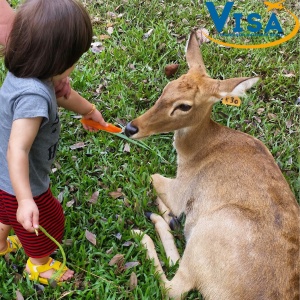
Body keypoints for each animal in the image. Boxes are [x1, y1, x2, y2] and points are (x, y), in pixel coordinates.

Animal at [123, 31, 298, 300]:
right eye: (166, 88)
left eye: (184, 105)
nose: (131, 128)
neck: (198, 151)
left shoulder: (181, 189)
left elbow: (153, 177)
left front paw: (166, 212)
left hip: (210, 231)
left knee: (174, 286)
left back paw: (149, 229)